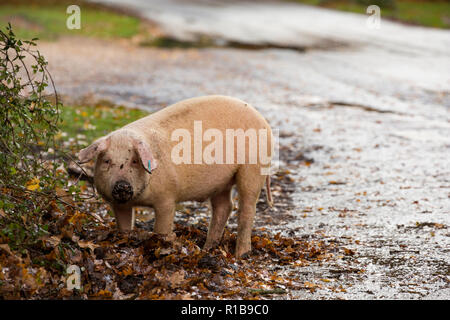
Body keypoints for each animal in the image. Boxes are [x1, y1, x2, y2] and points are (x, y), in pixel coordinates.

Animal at [78, 95, 272, 258]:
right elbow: (124, 226)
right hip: (221, 183)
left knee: (247, 208)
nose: (122, 185)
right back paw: (207, 249)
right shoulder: (118, 204)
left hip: (253, 169)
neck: (140, 199)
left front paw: (161, 247)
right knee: (224, 207)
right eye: (107, 161)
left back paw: (240, 255)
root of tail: (264, 121)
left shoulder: (167, 198)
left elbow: (161, 229)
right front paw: (124, 241)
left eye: (134, 161)